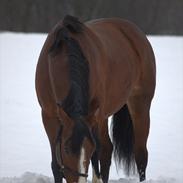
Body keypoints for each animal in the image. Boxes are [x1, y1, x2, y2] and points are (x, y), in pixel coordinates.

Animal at [35, 15, 156, 182]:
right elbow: (56, 166)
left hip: (139, 105)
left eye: (90, 148)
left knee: (139, 154)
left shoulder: (93, 118)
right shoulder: (49, 116)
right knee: (107, 150)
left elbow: (96, 156)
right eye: (66, 148)